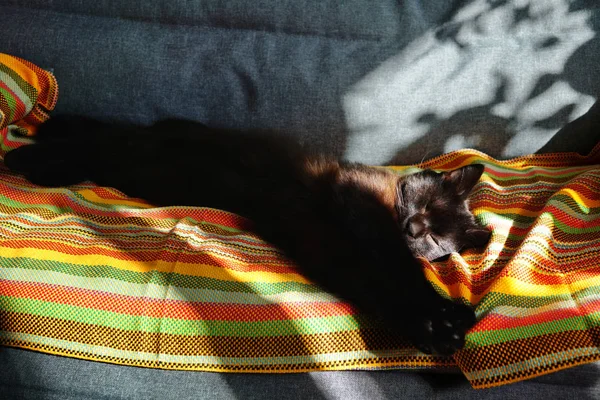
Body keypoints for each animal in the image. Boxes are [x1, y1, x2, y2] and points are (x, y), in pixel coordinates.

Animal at [4, 115, 490, 356]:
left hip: (143, 170)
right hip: (142, 158)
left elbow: (378, 285)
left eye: (436, 240)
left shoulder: (324, 245)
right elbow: (397, 268)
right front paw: (444, 317)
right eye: (425, 208)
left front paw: (441, 325)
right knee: (93, 139)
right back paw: (26, 153)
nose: (414, 228)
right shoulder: (360, 209)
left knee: (94, 142)